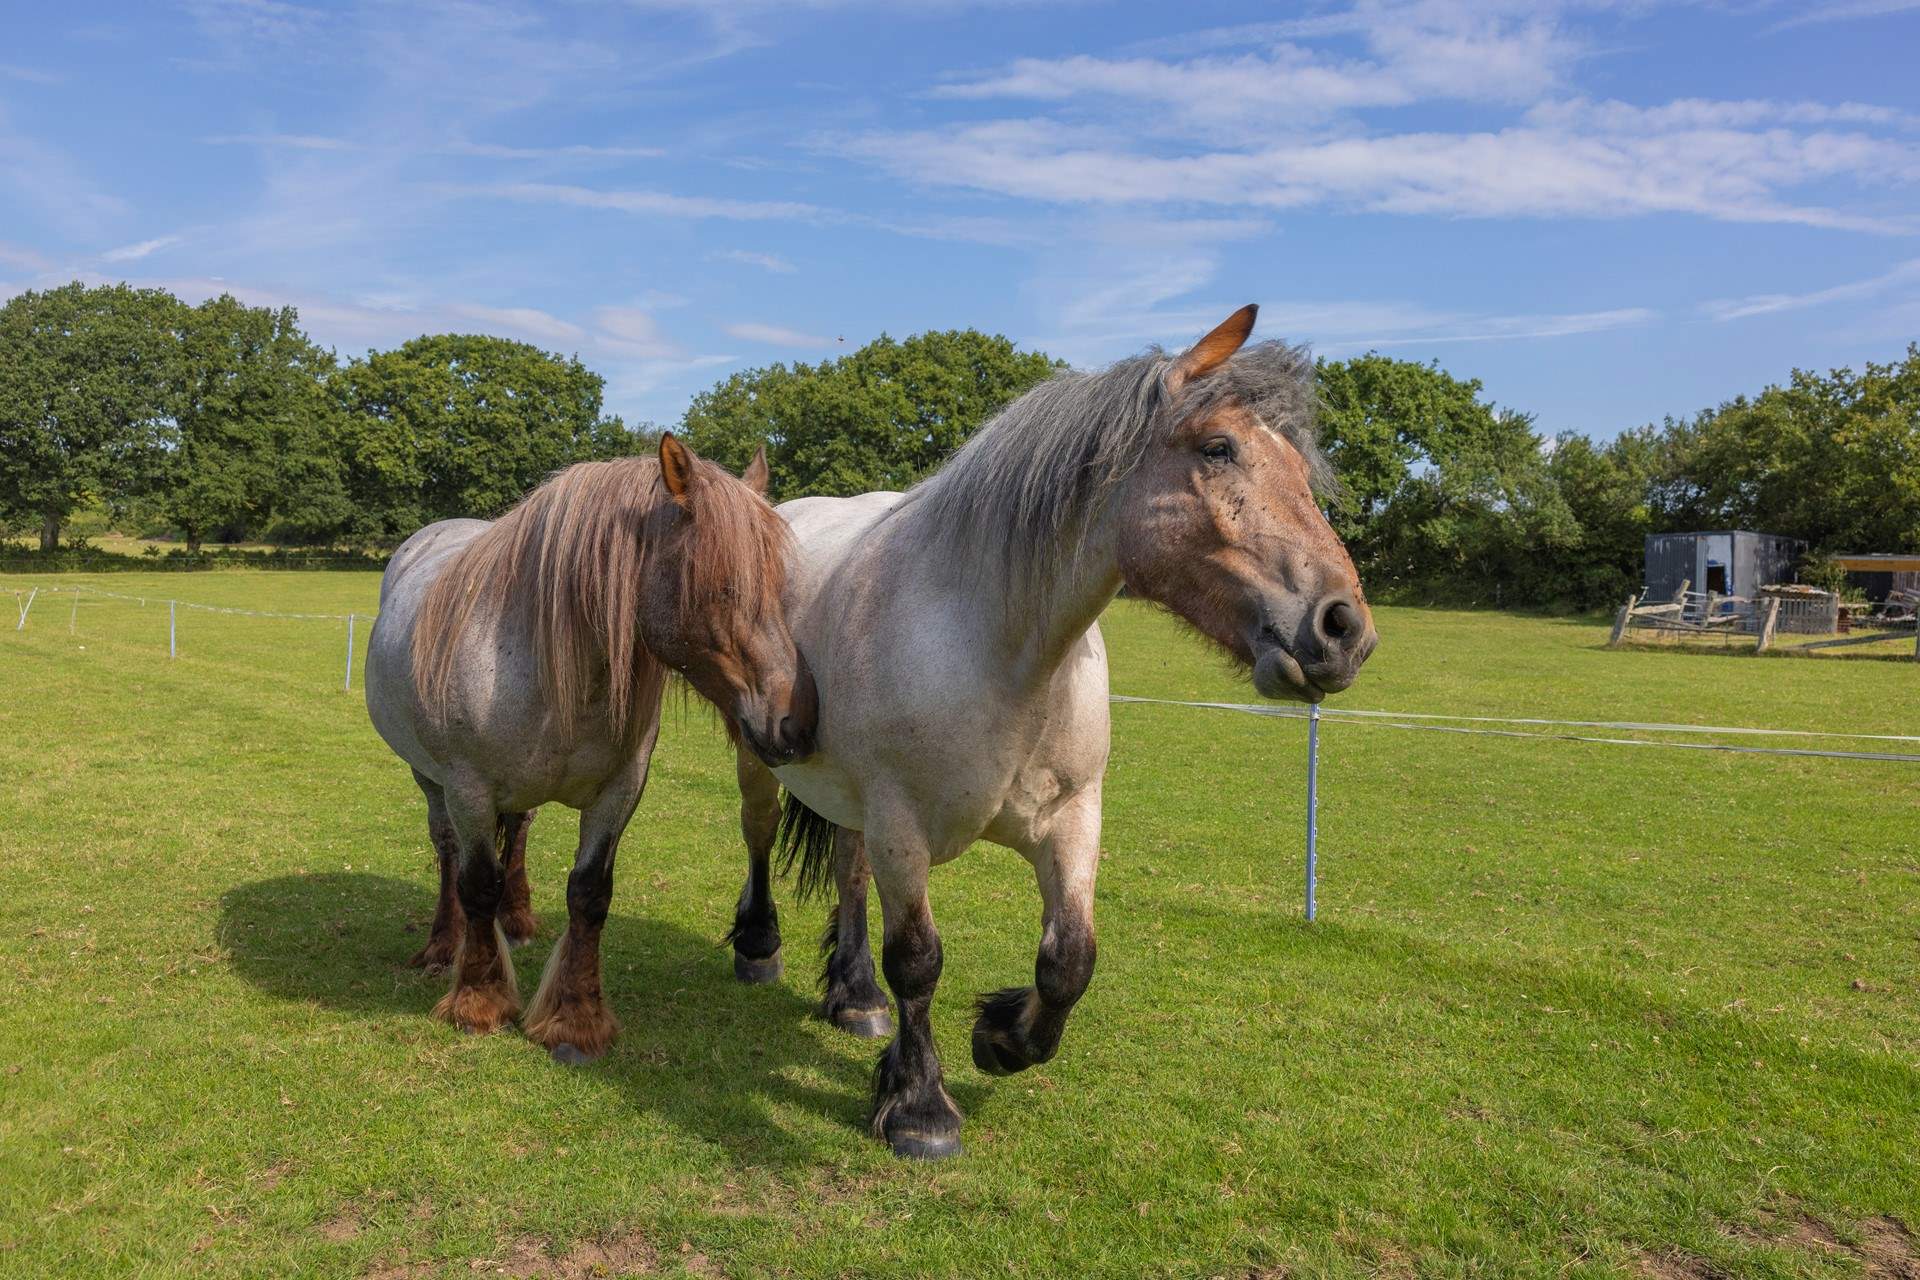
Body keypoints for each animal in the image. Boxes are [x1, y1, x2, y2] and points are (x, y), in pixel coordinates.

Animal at [364, 435, 818, 1062]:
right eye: (723, 586)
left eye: (780, 587)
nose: (798, 722)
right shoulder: (468, 789)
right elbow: (477, 883)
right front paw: (479, 1002)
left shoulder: (619, 792)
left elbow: (589, 895)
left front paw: (577, 1018)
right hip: (429, 779)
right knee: (448, 849)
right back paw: (441, 947)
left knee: (520, 832)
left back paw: (517, 921)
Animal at [723, 306, 1377, 1158]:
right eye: (1217, 448)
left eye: (1298, 465)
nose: (1344, 629)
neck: (994, 648)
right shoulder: (903, 826)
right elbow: (919, 960)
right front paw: (920, 1106)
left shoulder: (1070, 818)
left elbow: (1070, 959)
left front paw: (1002, 1038)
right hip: (763, 761)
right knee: (760, 834)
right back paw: (759, 949)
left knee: (847, 868)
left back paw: (854, 995)